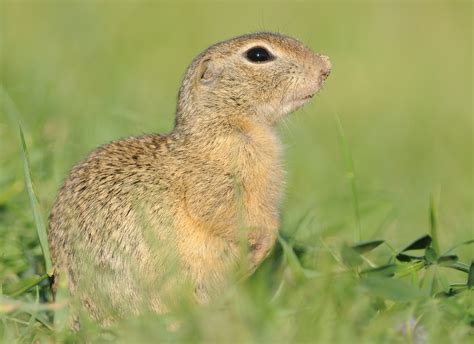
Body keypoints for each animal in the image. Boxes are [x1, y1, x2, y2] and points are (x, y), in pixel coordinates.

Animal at [47, 32, 330, 322]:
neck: (227, 125)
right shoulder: (215, 186)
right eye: (258, 55)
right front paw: (262, 248)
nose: (325, 67)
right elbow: (224, 215)